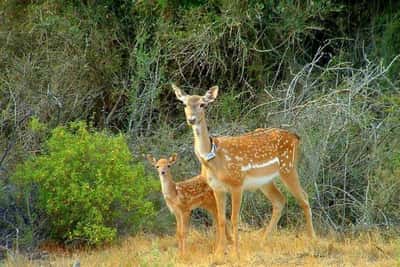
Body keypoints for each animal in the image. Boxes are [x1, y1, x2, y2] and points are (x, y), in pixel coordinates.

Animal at [172, 84, 316, 260]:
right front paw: (218, 252)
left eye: (202, 104)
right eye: (184, 104)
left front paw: (235, 252)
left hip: (288, 167)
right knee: (279, 200)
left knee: (304, 197)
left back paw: (312, 240)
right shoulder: (217, 188)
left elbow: (234, 218)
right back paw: (263, 241)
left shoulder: (237, 183)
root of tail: (296, 137)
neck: (214, 160)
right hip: (266, 181)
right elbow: (221, 219)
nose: (191, 119)